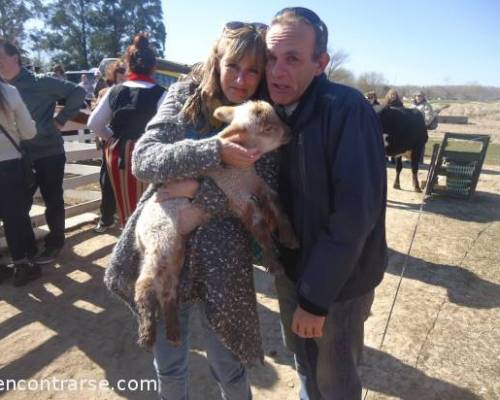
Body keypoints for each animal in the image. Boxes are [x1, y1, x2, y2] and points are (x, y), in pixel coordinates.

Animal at [132, 100, 300, 346]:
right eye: (267, 128)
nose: (289, 132)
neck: (241, 169)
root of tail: (138, 231)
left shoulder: (255, 184)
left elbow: (278, 205)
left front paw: (290, 238)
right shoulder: (236, 195)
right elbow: (259, 228)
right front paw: (274, 263)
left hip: (173, 248)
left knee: (167, 287)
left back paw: (172, 331)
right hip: (161, 238)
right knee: (144, 283)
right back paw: (147, 333)